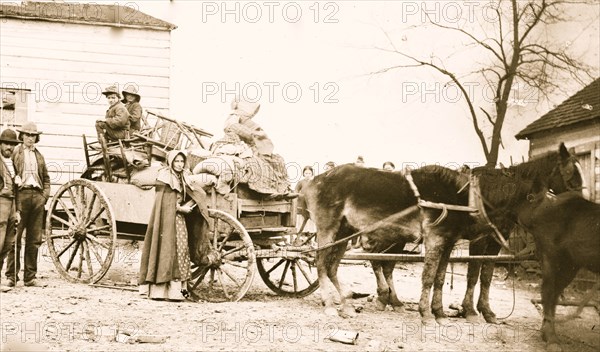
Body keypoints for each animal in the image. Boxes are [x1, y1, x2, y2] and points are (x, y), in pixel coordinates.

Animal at [304, 144, 580, 322]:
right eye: (570, 173)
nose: (579, 205)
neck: (470, 197)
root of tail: (316, 179)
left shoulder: (450, 242)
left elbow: (443, 277)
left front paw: (440, 312)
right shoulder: (443, 239)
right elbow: (432, 277)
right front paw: (429, 314)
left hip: (347, 231)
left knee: (334, 266)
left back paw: (347, 305)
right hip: (329, 229)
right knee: (322, 263)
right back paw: (331, 305)